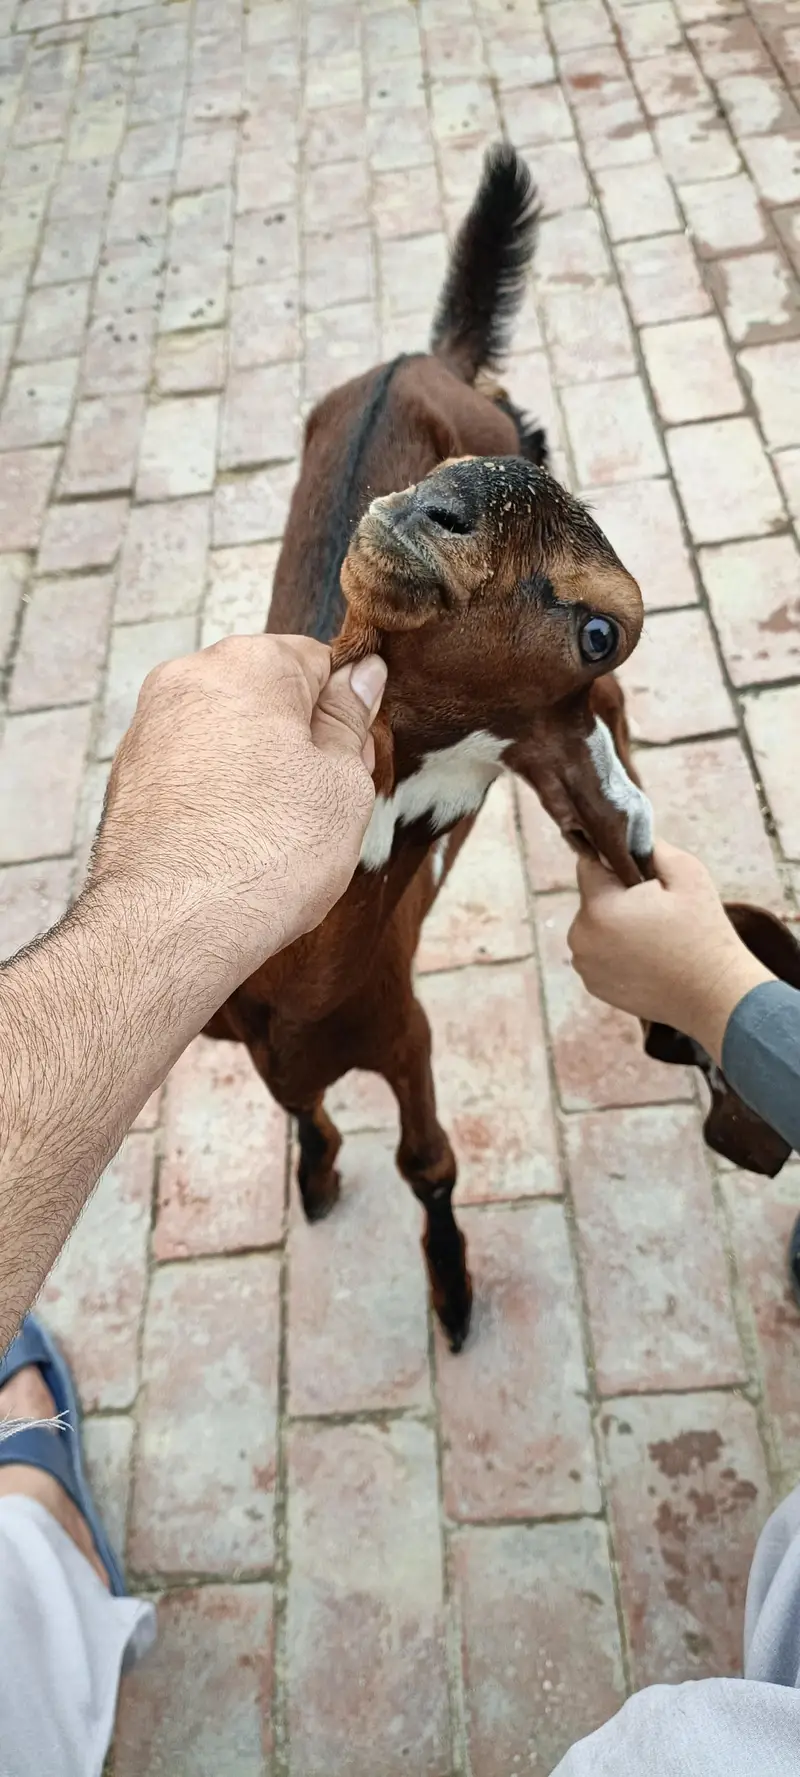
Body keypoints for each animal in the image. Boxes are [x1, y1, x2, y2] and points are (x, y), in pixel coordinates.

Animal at [206, 144, 654, 1350]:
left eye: (601, 626)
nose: (433, 503)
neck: (302, 983)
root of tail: (429, 355)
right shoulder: (255, 1038)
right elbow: (300, 1106)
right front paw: (315, 1175)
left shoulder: (403, 1026)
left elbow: (428, 1163)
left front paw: (450, 1292)